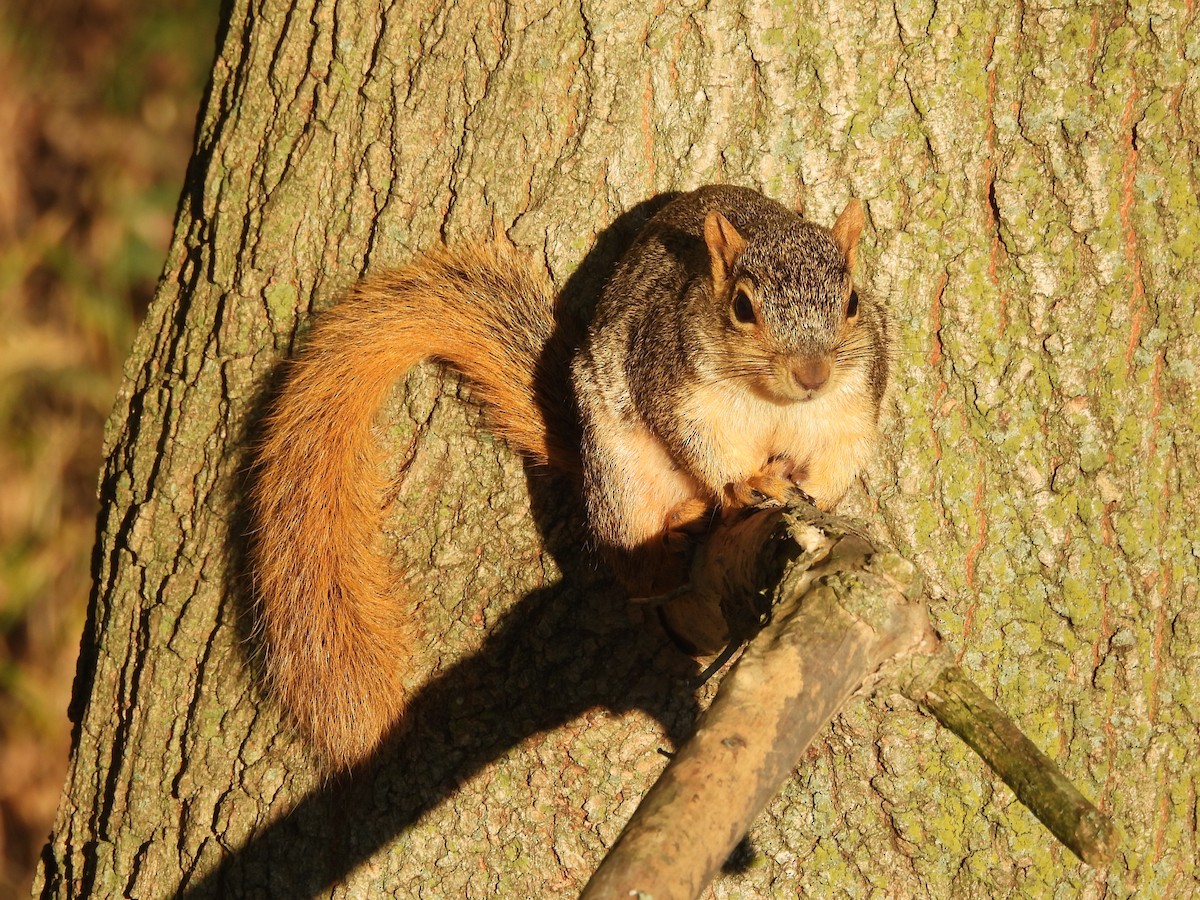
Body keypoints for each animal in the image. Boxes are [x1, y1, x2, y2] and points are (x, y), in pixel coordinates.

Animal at [250, 184, 890, 770]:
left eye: (854, 301)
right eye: (741, 308)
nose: (812, 373)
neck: (775, 405)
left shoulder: (853, 410)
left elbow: (839, 462)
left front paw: (821, 500)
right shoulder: (680, 391)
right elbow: (703, 449)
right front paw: (744, 486)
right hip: (620, 475)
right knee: (633, 569)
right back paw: (675, 535)